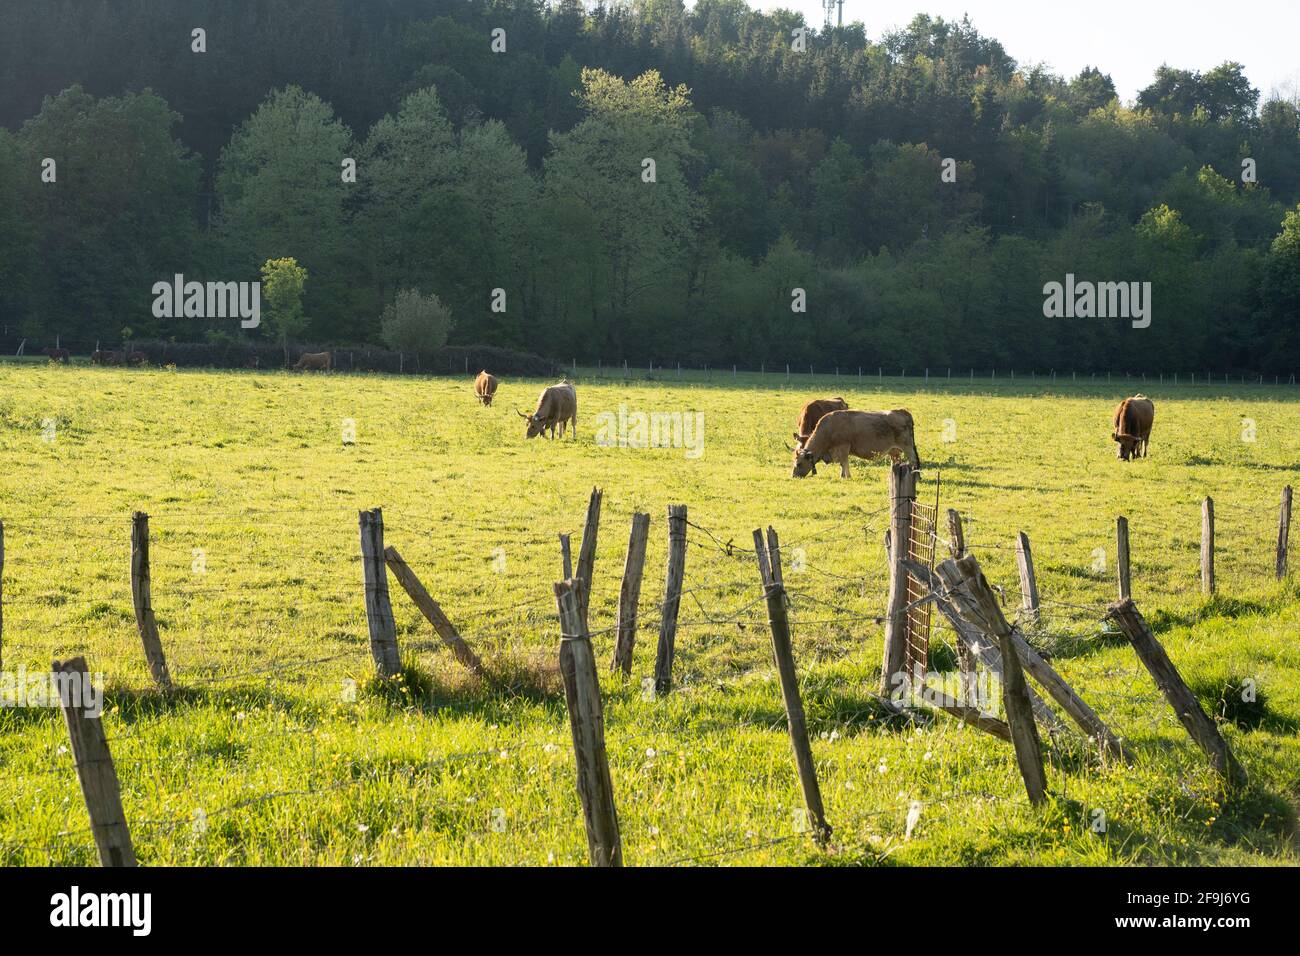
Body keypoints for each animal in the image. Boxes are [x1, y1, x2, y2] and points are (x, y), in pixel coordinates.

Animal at [785, 408, 920, 478]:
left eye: (798, 464)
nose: (793, 476)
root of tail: (903, 412)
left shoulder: (843, 447)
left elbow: (845, 462)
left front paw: (847, 476)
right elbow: (842, 464)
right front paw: (842, 475)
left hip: (907, 446)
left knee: (913, 461)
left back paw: (916, 476)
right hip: (894, 450)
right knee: (896, 461)